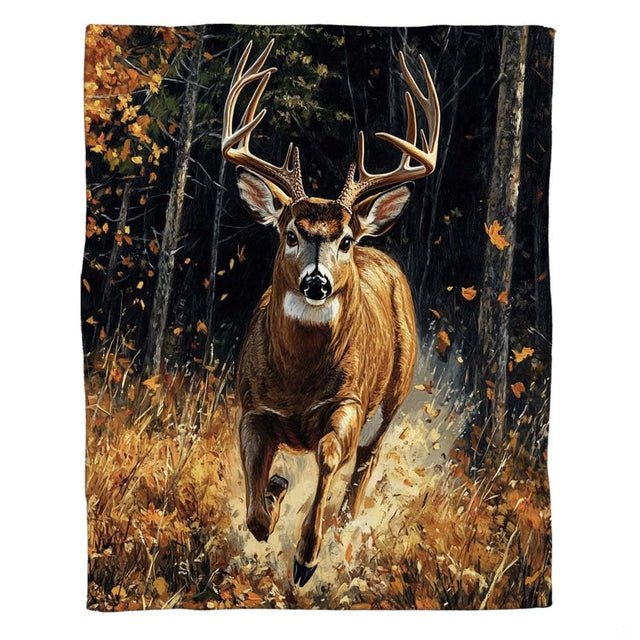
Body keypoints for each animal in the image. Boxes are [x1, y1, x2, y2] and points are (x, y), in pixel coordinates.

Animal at [222, 39, 440, 587]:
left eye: (343, 239)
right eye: (289, 233)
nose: (316, 282)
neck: (297, 382)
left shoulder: (349, 401)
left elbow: (328, 457)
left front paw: (306, 557)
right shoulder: (252, 407)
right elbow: (254, 504)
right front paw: (274, 494)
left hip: (393, 392)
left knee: (366, 457)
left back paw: (343, 523)